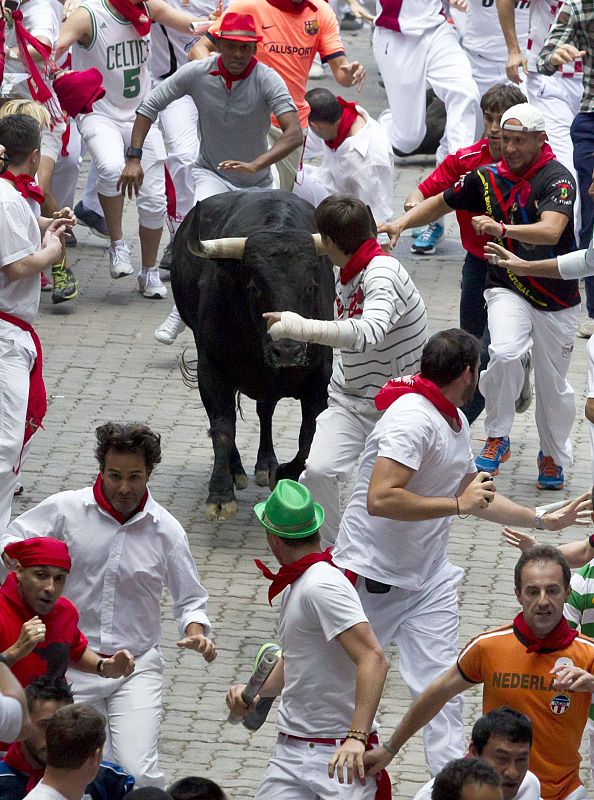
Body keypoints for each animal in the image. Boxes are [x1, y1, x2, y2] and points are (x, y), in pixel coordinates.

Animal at [170, 191, 332, 520]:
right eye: (255, 287)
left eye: (311, 285)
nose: (288, 349)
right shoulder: (212, 370)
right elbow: (222, 427)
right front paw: (220, 495)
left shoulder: (319, 379)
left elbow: (308, 436)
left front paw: (285, 473)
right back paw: (238, 471)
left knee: (265, 410)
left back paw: (266, 464)